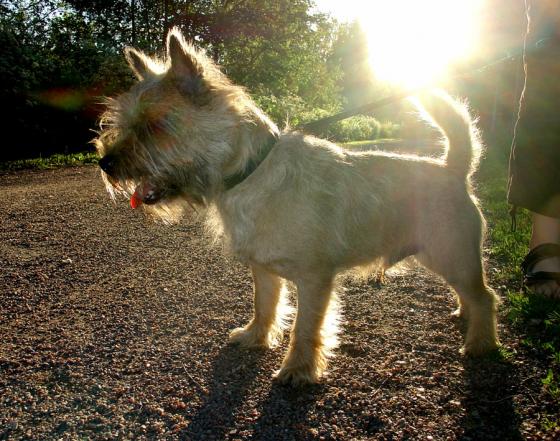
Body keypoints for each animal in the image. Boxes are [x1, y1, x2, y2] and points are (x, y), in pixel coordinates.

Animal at [95, 28, 498, 384]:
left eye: (154, 126)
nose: (105, 162)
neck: (251, 174)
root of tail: (452, 168)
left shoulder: (315, 279)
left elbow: (305, 328)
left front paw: (298, 369)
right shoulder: (263, 270)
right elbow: (265, 305)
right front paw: (256, 336)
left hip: (452, 256)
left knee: (486, 296)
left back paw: (480, 343)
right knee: (472, 295)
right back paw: (463, 315)